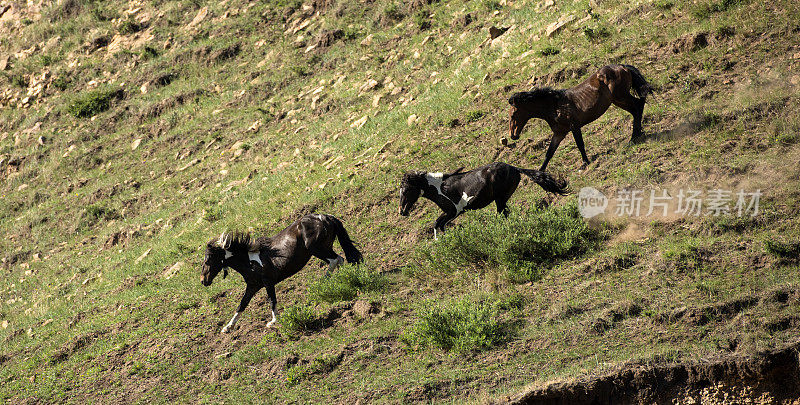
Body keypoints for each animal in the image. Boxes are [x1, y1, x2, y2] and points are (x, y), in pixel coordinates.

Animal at [200, 213, 362, 332]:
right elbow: (242, 305)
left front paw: (273, 321)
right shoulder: (252, 286)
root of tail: (326, 217)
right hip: (324, 248)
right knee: (340, 259)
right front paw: (227, 327)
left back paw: (322, 284)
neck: (249, 261)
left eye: (208, 260)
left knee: (335, 260)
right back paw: (340, 278)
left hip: (316, 249)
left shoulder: (268, 282)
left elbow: (272, 300)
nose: (203, 280)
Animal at [396, 161, 564, 237]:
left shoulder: (453, 211)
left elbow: (438, 224)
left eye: (406, 190)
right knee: (504, 214)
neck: (441, 188)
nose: (402, 211)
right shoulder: (450, 213)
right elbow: (439, 225)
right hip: (501, 200)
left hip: (501, 198)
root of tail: (514, 168)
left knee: (503, 215)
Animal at [510, 64, 652, 170]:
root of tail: (622, 66)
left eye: (513, 114)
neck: (555, 106)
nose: (513, 135)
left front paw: (586, 163)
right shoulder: (559, 133)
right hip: (618, 100)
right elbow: (549, 153)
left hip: (621, 97)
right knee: (636, 109)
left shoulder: (574, 126)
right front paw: (541, 174)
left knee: (638, 105)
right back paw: (636, 135)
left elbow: (580, 144)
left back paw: (635, 137)